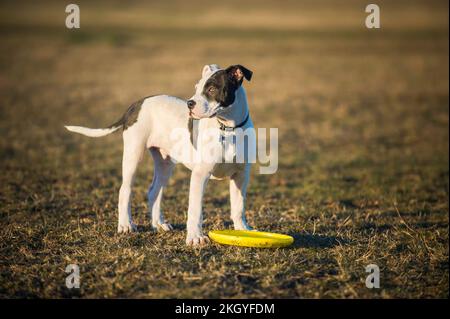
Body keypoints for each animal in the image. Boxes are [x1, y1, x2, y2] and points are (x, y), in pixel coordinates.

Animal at [64, 63, 253, 246]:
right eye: (196, 87)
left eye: (212, 89)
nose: (189, 104)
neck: (229, 128)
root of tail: (137, 104)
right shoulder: (200, 175)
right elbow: (195, 209)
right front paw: (195, 237)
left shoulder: (241, 176)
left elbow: (238, 206)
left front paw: (242, 229)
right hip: (133, 154)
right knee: (125, 189)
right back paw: (125, 225)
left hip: (165, 164)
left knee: (154, 191)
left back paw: (158, 224)